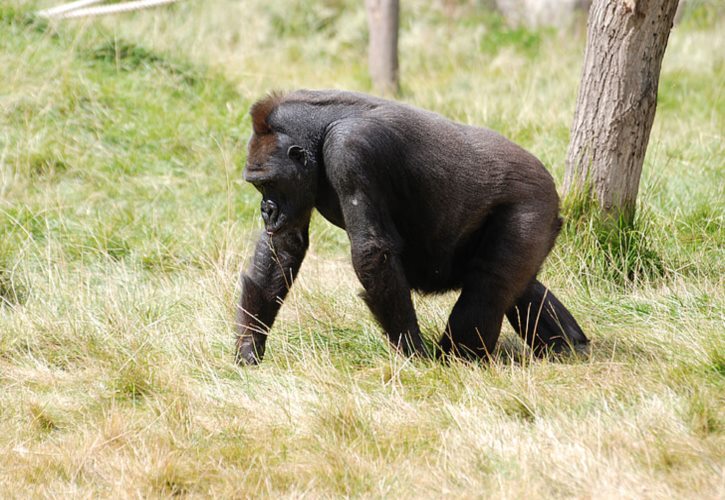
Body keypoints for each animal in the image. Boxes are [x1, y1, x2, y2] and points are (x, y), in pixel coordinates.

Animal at [236, 90, 588, 364]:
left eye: (268, 183)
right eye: (257, 185)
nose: (266, 211)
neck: (318, 131)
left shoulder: (351, 150)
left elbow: (372, 252)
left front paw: (412, 352)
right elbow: (283, 245)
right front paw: (249, 346)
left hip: (534, 202)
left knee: (489, 284)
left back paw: (460, 359)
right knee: (519, 285)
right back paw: (568, 345)